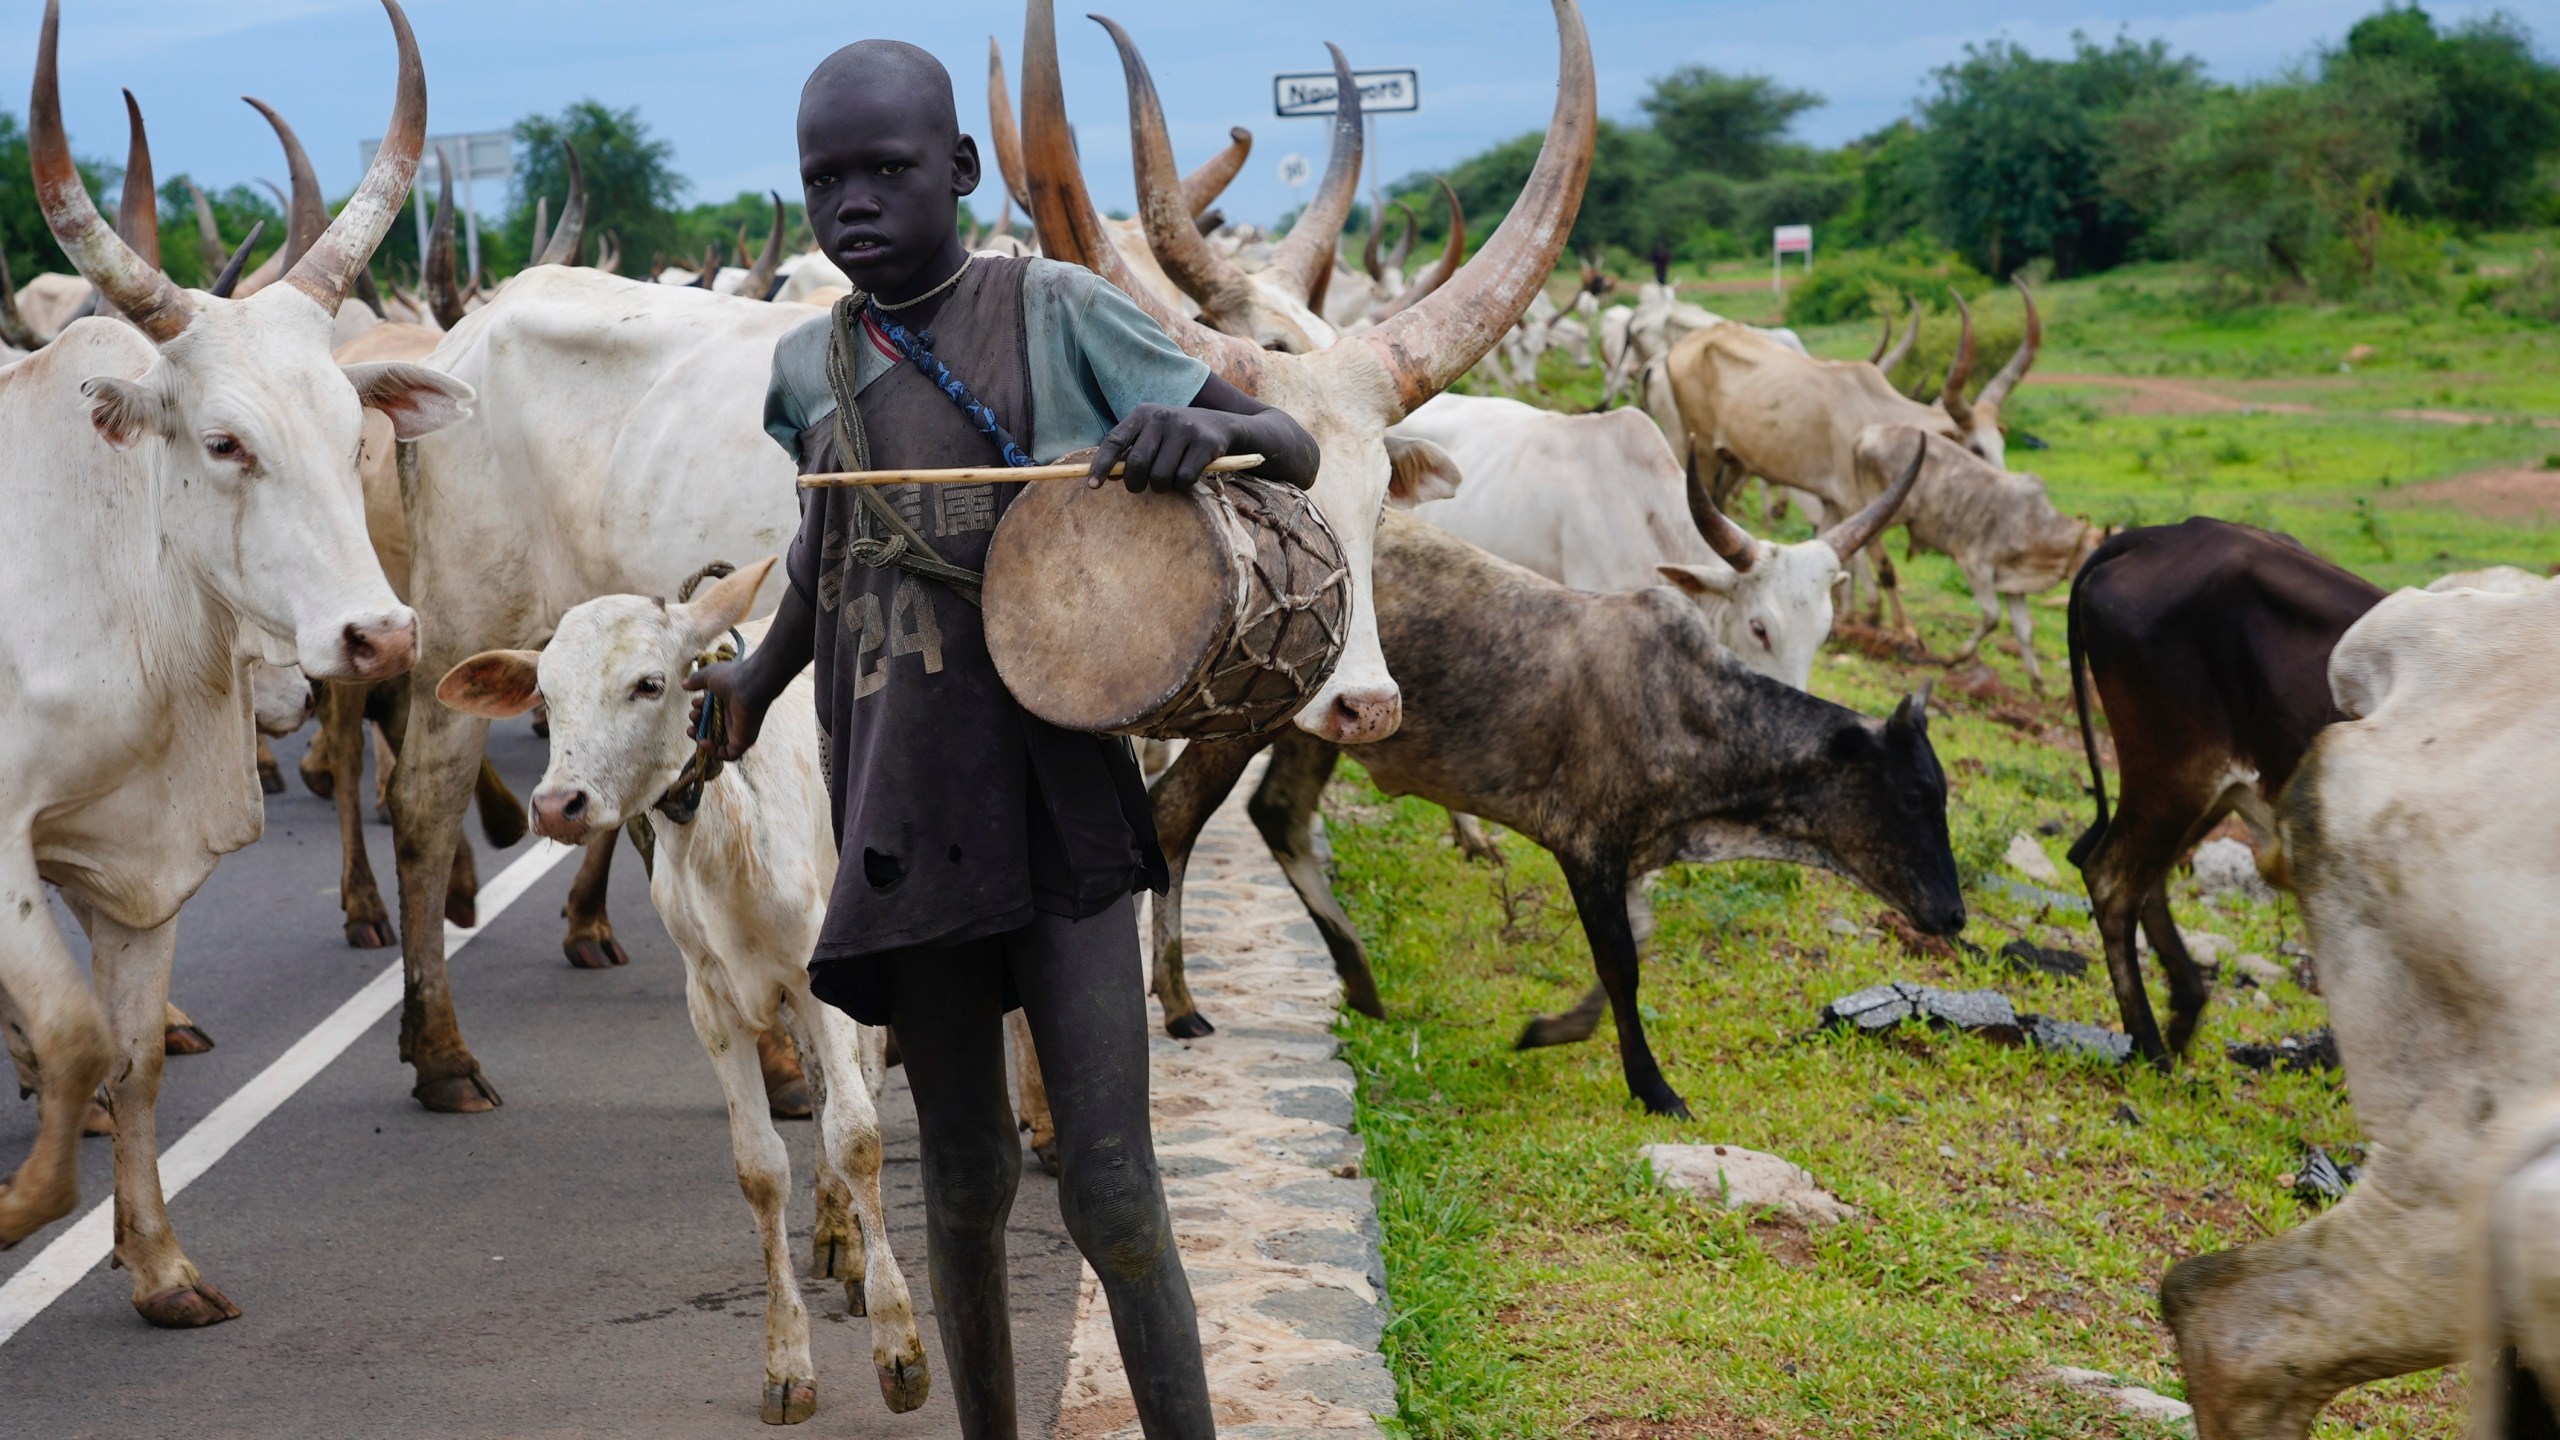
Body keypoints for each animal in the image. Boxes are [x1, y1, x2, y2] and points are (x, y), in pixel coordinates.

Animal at [0, 0, 465, 1322]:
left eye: (354, 431)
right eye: (222, 442)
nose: (380, 636)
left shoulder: (140, 858)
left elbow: (129, 1057)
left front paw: (158, 1267)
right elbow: (72, 1039)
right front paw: (21, 1205)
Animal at [440, 558, 931, 1414]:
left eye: (648, 683)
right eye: (545, 696)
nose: (557, 806)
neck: (725, 827)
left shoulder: (819, 981)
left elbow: (858, 1135)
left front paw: (896, 1344)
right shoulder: (713, 1004)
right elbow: (760, 1168)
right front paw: (786, 1364)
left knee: (862, 1083)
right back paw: (837, 1235)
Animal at [1152, 509, 1966, 1117]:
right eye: (1911, 796)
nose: (1954, 916)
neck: (1696, 712)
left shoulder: (1634, 854)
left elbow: (1638, 942)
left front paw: (1554, 1028)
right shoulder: (1588, 843)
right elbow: (1623, 964)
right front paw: (1654, 1088)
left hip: (1323, 729)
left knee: (1279, 815)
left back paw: (1358, 975)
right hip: (1246, 723)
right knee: (1174, 816)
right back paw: (1180, 1000)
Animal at [2058, 515, 2375, 1065]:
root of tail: (2157, 534)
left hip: (2210, 786)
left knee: (2144, 878)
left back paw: (2183, 1010)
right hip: (2177, 769)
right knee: (2111, 879)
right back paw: (2151, 1046)